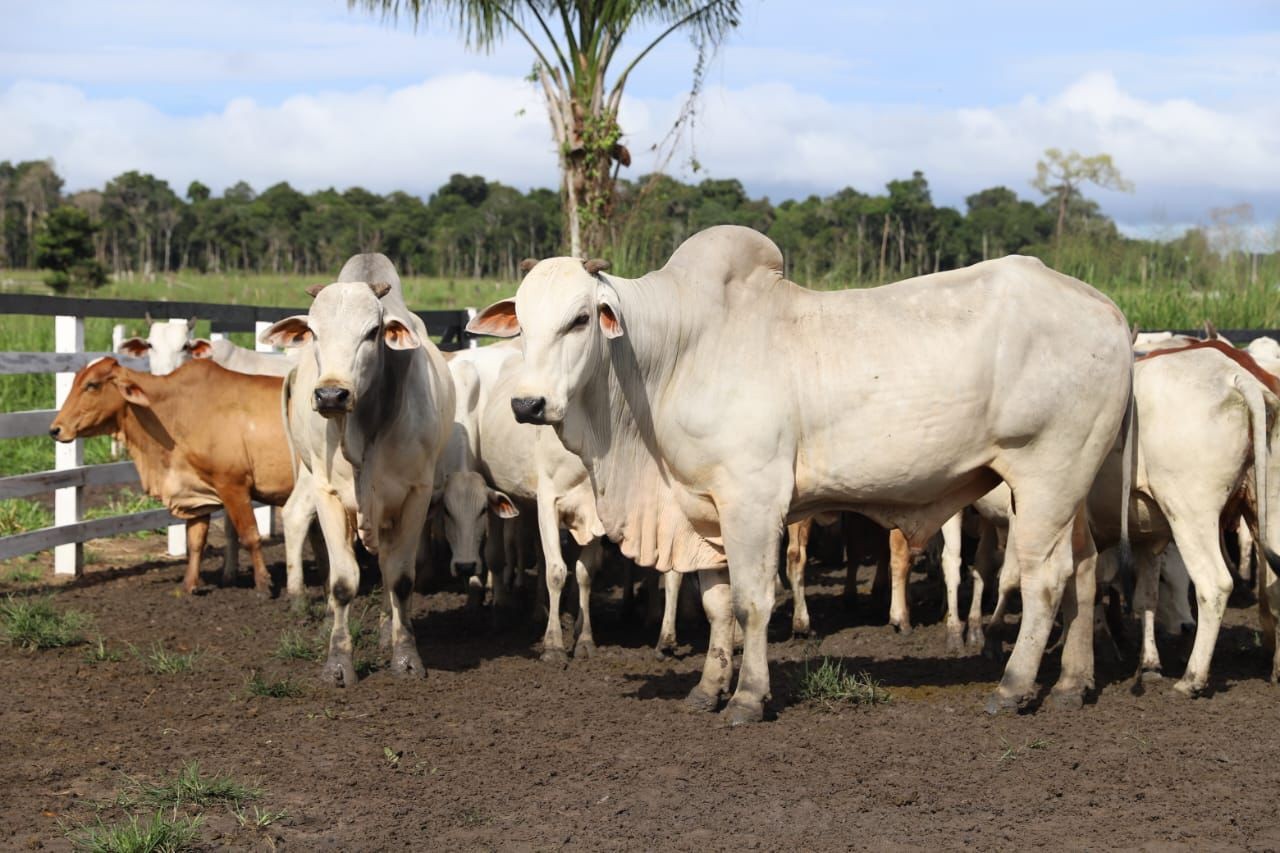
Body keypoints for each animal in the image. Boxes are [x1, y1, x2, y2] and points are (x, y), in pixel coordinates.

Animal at [49, 356, 293, 589]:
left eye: (92, 385)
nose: (55, 429)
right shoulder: (195, 492)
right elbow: (195, 541)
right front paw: (188, 586)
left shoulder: (233, 484)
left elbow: (250, 535)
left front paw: (263, 584)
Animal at [257, 252, 453, 686]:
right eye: (313, 331)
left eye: (373, 331)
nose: (331, 394)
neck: (366, 426)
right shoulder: (329, 492)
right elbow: (344, 581)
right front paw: (337, 663)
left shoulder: (415, 494)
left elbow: (400, 578)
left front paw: (404, 654)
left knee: (387, 566)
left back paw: (385, 629)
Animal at [471, 224, 1131, 717]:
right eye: (522, 321)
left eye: (580, 319)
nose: (527, 404)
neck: (673, 355)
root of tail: (1107, 308)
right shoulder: (703, 507)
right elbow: (717, 605)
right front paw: (707, 689)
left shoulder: (753, 499)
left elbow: (752, 602)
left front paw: (748, 697)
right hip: (1073, 484)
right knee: (1086, 569)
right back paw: (1071, 684)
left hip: (1046, 474)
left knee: (1046, 577)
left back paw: (1014, 687)